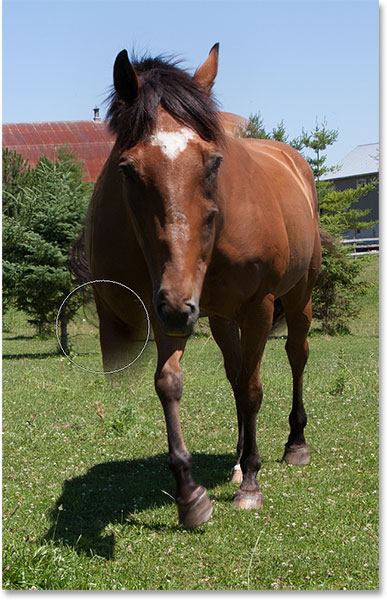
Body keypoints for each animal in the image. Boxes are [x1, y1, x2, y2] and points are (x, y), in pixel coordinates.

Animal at [80, 44, 322, 528]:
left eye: (214, 163)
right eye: (127, 169)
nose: (179, 307)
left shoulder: (258, 307)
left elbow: (254, 389)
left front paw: (252, 484)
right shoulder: (168, 308)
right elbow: (170, 383)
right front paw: (190, 493)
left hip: (297, 298)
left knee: (295, 357)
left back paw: (293, 445)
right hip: (221, 317)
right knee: (235, 375)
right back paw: (237, 460)